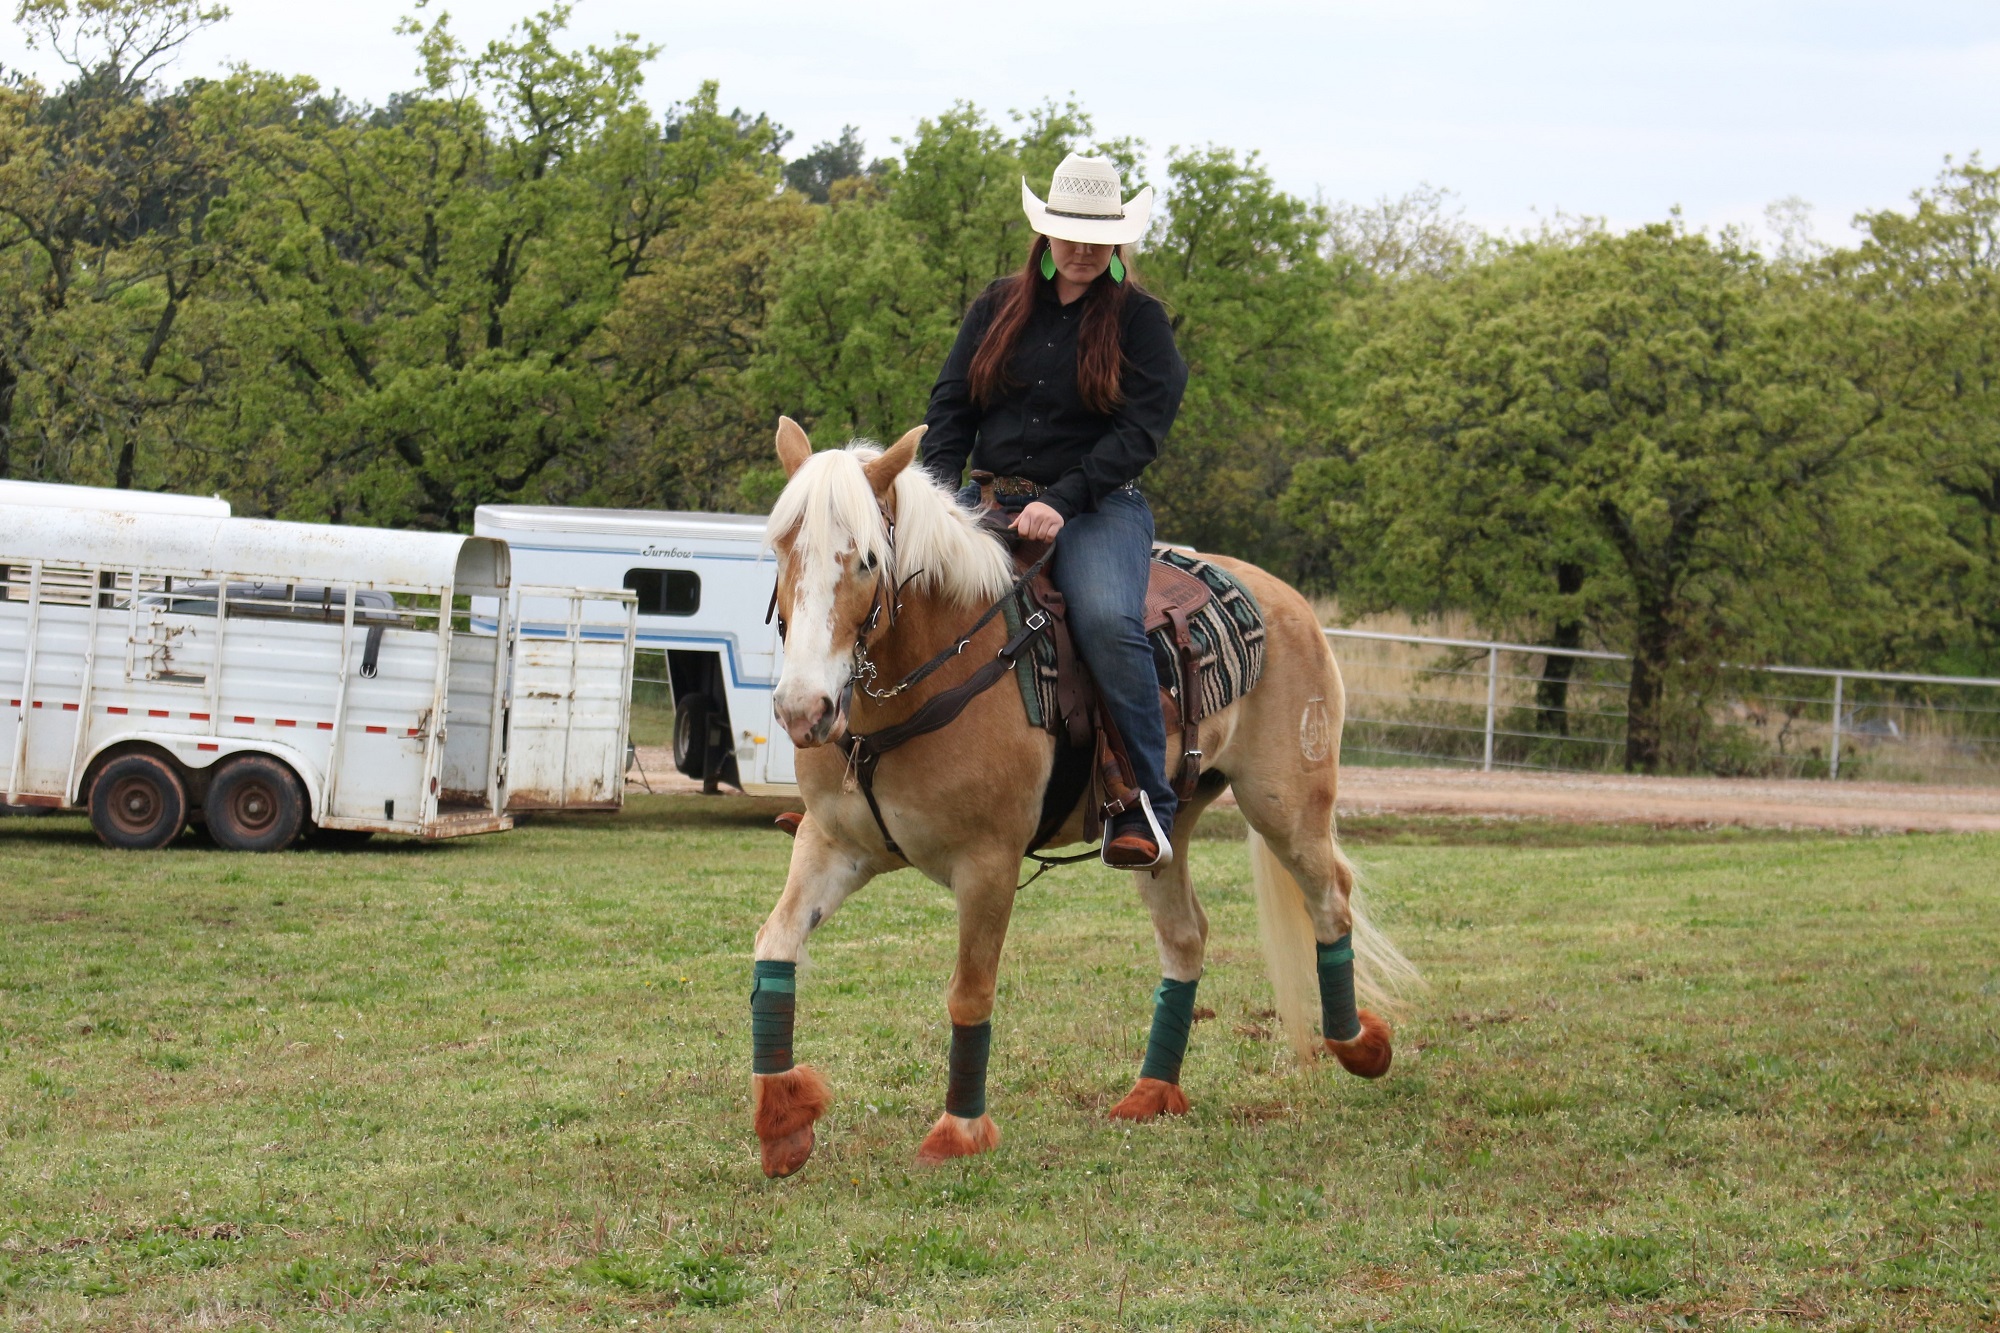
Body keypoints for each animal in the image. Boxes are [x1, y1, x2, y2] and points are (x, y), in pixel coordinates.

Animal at [752, 418, 1424, 1176]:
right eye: (781, 548)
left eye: (867, 559)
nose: (803, 709)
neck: (931, 675)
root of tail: (1288, 601)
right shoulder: (833, 845)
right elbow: (775, 946)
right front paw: (783, 1123)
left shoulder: (989, 865)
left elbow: (969, 992)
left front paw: (959, 1130)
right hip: (1165, 826)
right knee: (1187, 934)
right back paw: (1153, 1090)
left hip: (1288, 806)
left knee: (1331, 899)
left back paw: (1361, 1046)